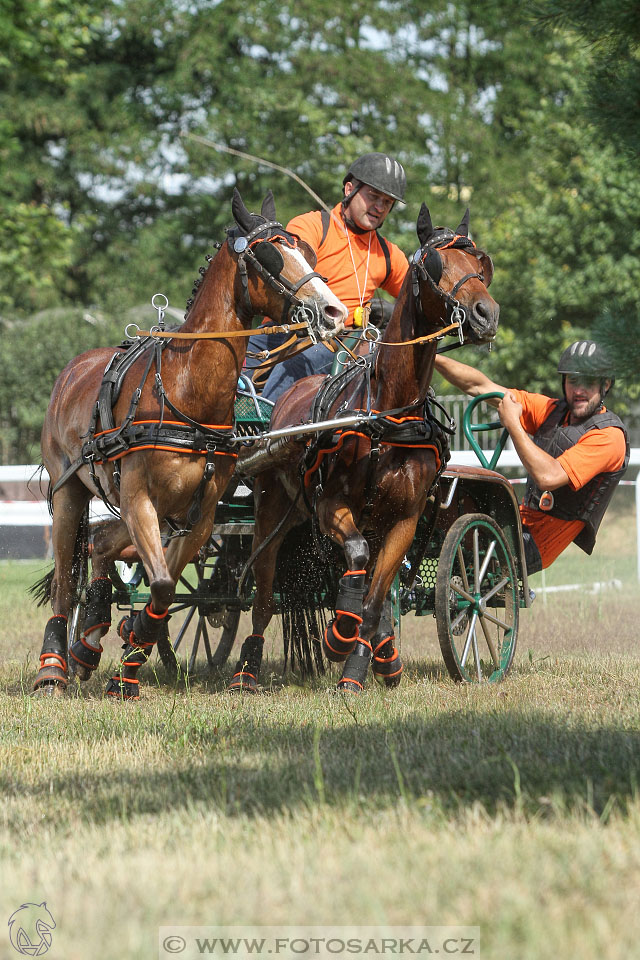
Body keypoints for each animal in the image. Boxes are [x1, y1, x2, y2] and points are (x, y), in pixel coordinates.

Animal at [32, 188, 348, 696]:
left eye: (308, 251)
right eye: (271, 254)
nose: (335, 312)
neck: (185, 389)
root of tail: (73, 369)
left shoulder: (198, 515)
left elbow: (166, 588)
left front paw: (131, 654)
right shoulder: (140, 499)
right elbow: (160, 584)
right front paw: (131, 645)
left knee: (100, 543)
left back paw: (90, 642)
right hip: (71, 492)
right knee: (65, 576)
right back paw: (53, 666)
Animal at [230, 206, 500, 692]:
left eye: (479, 264)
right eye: (436, 265)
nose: (485, 313)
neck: (389, 415)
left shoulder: (405, 520)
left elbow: (376, 599)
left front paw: (357, 668)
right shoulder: (330, 505)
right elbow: (354, 562)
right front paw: (340, 634)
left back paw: (385, 656)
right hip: (272, 512)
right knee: (263, 594)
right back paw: (247, 668)